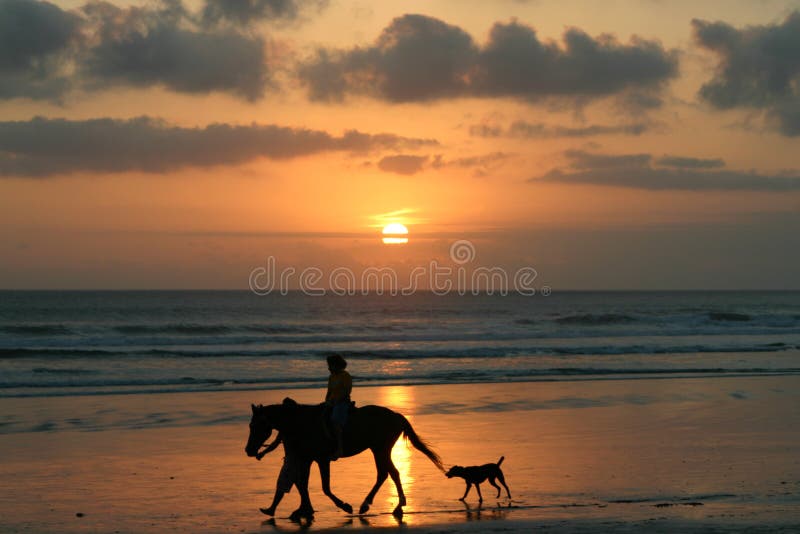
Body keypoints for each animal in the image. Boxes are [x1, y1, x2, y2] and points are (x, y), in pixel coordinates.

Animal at [244, 400, 444, 520]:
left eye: (256, 425)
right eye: (250, 425)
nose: (249, 450)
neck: (301, 422)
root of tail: (397, 416)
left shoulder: (321, 459)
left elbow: (325, 487)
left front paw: (344, 506)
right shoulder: (307, 459)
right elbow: (303, 484)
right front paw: (303, 509)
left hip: (381, 449)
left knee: (389, 473)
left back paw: (388, 505)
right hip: (378, 449)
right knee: (386, 474)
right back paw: (379, 505)